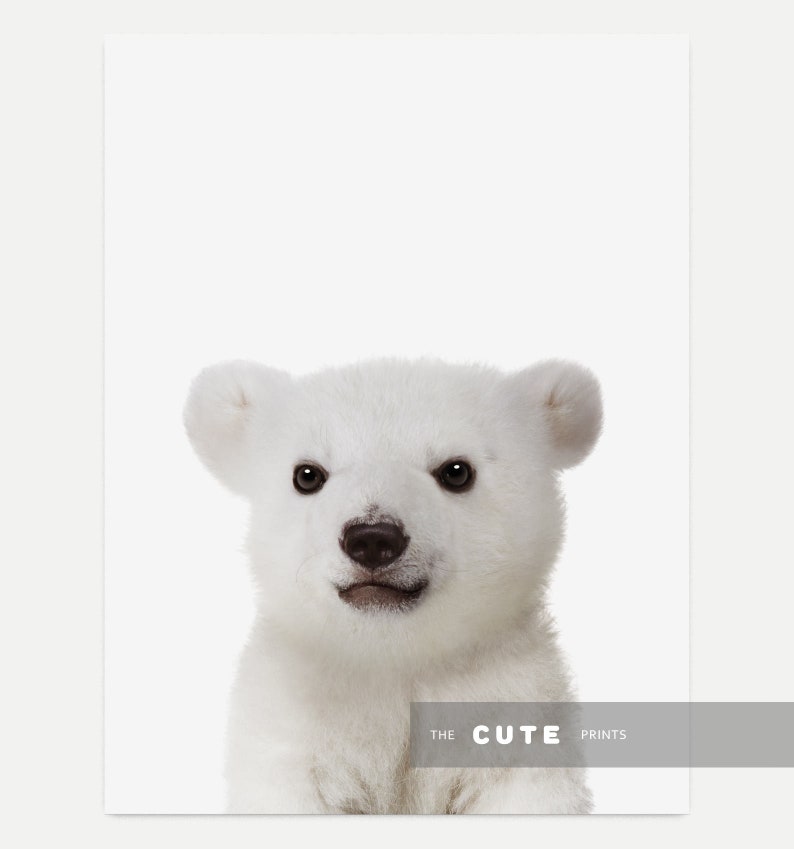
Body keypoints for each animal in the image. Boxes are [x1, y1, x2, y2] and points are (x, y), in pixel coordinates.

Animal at [183, 357, 602, 814]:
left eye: (457, 471)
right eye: (307, 475)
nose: (372, 539)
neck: (389, 654)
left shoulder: (510, 707)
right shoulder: (292, 722)